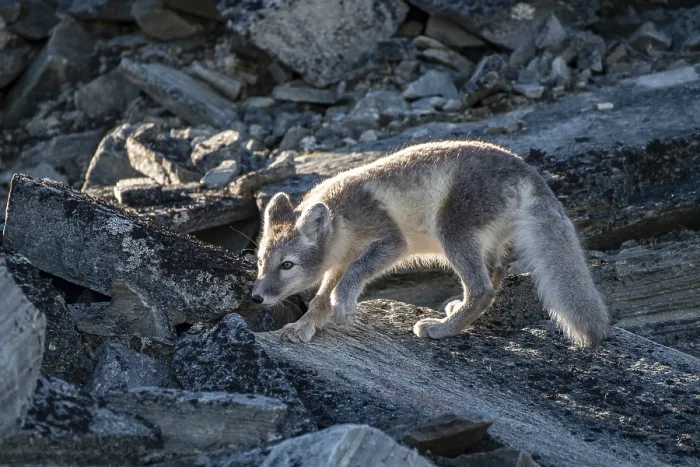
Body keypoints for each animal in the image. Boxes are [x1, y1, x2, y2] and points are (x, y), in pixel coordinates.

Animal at [251, 140, 610, 346]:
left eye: (287, 265)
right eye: (260, 262)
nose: (256, 297)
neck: (340, 218)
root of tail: (527, 170)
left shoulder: (389, 242)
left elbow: (352, 278)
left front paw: (341, 303)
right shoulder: (339, 262)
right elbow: (321, 299)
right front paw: (304, 326)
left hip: (452, 233)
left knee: (482, 289)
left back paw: (442, 329)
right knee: (497, 271)